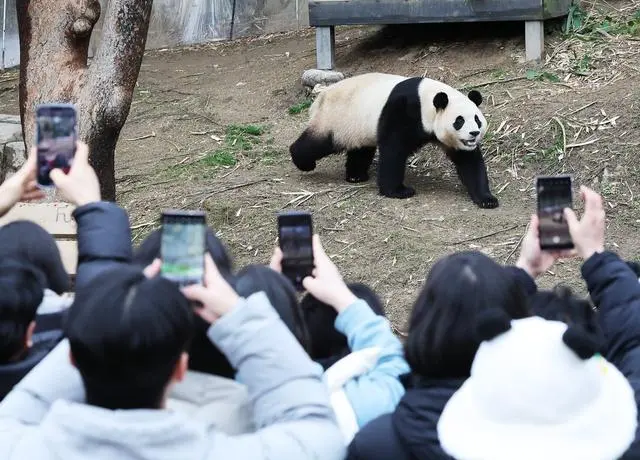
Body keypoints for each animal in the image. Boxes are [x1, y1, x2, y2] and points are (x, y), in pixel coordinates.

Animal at [290, 72, 500, 208]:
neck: (427, 101)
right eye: (459, 121)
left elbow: (469, 162)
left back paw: (356, 176)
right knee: (318, 143)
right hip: (336, 118)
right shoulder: (403, 110)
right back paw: (304, 162)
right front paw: (399, 191)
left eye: (477, 119)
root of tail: (320, 97)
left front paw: (487, 199)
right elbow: (393, 150)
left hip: (358, 126)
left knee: (361, 149)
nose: (473, 133)